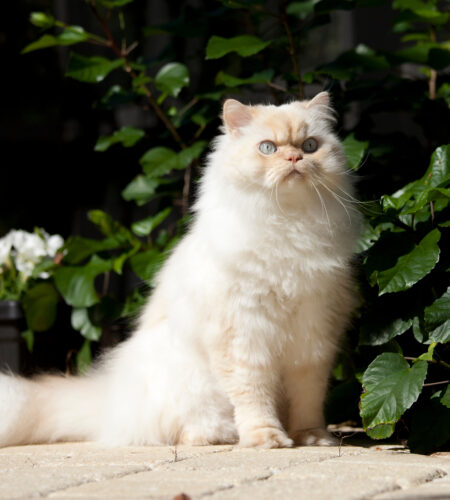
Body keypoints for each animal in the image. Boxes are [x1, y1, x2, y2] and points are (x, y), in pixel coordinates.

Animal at [0, 93, 358, 450]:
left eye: (310, 146)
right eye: (267, 148)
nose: (295, 157)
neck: (289, 223)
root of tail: (107, 403)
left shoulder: (314, 338)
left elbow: (308, 398)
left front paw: (312, 437)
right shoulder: (242, 337)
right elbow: (253, 395)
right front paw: (265, 438)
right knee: (178, 430)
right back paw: (218, 435)